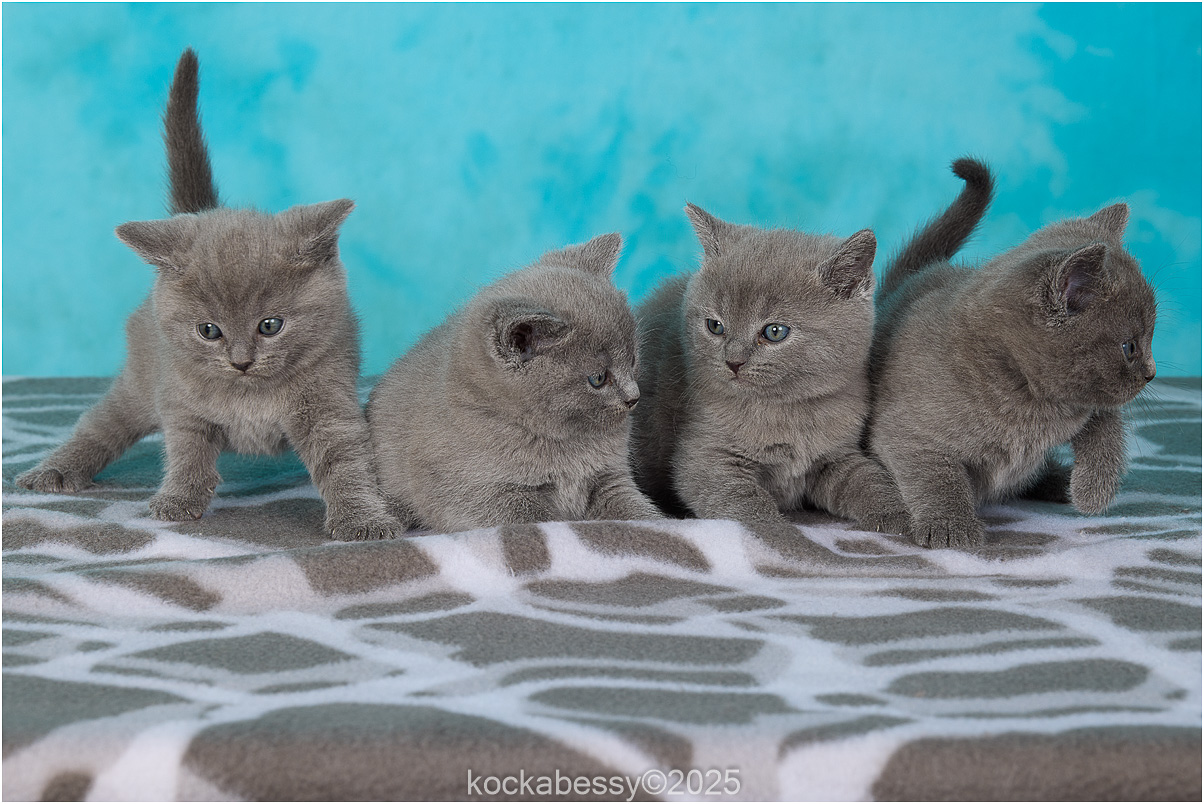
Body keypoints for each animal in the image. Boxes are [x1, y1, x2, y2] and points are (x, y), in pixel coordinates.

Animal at [16, 49, 398, 541]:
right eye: (208, 330)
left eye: (270, 325)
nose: (241, 362)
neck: (250, 393)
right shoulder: (180, 396)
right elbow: (187, 450)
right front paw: (178, 499)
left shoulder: (329, 399)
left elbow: (345, 460)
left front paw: (361, 519)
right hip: (142, 377)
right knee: (101, 423)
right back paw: (55, 471)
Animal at [367, 233, 664, 533]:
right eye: (598, 379)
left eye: (633, 360)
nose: (634, 397)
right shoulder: (481, 494)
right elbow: (539, 518)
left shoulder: (608, 476)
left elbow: (632, 505)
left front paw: (655, 523)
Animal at [630, 203, 909, 535]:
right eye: (715, 326)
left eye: (775, 332)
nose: (733, 361)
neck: (788, 412)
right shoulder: (705, 459)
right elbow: (746, 502)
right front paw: (780, 534)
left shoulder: (836, 456)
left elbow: (867, 479)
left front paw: (898, 518)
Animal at [868, 157, 1157, 548]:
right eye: (1130, 347)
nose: (1151, 372)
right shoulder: (907, 432)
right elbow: (937, 475)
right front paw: (951, 524)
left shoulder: (1084, 406)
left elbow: (1107, 423)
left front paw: (1091, 491)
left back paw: (1061, 481)